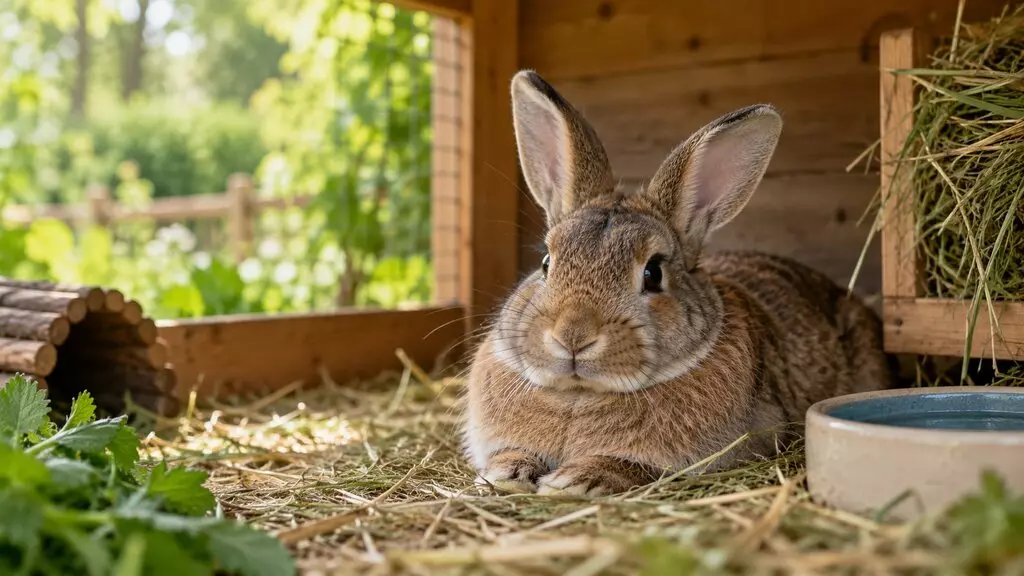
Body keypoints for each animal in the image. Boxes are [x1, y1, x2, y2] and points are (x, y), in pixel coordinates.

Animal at [461, 70, 894, 496]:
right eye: (546, 263)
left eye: (653, 273)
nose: (572, 336)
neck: (579, 395)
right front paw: (505, 473)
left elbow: (633, 466)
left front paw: (577, 479)